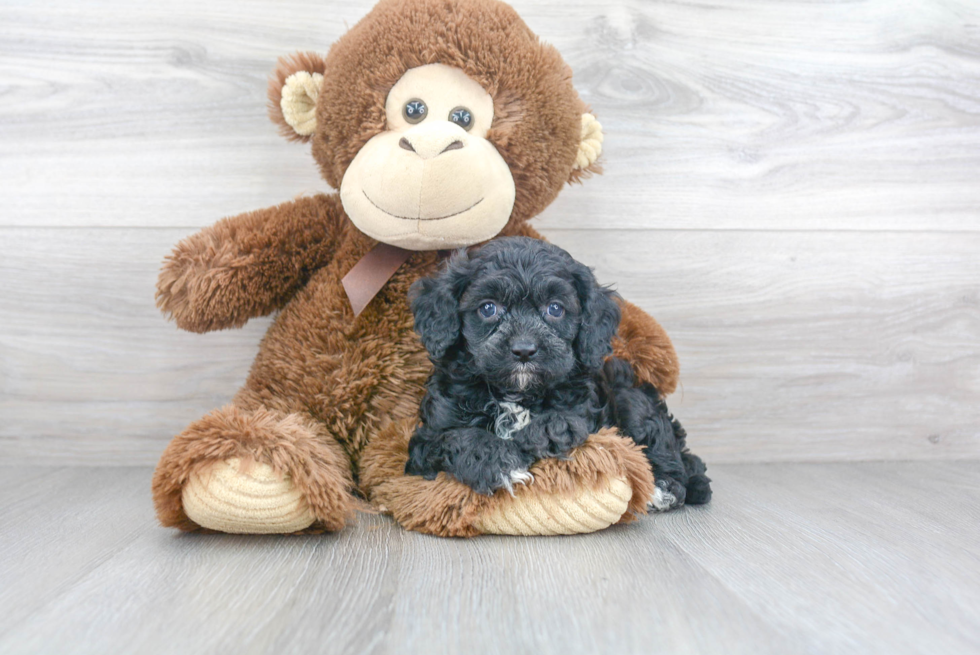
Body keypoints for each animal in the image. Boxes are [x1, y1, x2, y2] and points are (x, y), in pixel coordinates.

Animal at [406, 238, 712, 510]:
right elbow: (456, 437)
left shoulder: (586, 410)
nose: (524, 350)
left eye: (555, 308)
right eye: (488, 308)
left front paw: (546, 431)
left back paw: (663, 487)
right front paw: (501, 464)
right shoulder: (424, 444)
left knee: (663, 446)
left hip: (629, 395)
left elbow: (567, 420)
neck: (517, 394)